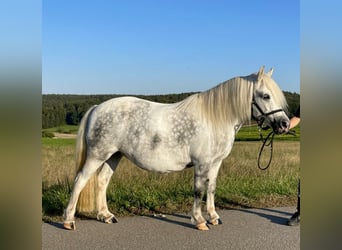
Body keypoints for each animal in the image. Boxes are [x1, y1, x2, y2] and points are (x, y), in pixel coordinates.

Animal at [63, 66, 288, 230]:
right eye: (266, 96)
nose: (284, 124)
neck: (215, 118)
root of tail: (97, 108)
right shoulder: (202, 164)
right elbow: (198, 190)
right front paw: (199, 221)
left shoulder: (215, 163)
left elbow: (211, 189)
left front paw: (214, 217)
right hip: (97, 155)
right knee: (80, 180)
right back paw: (68, 220)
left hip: (114, 155)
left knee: (102, 181)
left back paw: (106, 215)